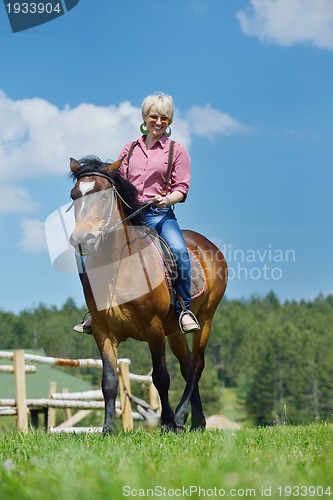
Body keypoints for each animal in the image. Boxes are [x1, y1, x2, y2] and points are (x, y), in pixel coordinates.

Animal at [68, 156, 227, 434]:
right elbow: (108, 380)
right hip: (175, 331)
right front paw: (108, 429)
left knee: (196, 366)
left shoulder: (154, 329)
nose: (82, 239)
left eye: (104, 197)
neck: (118, 266)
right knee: (187, 366)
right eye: (74, 195)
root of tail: (209, 245)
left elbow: (161, 377)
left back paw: (182, 417)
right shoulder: (102, 331)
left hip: (205, 319)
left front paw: (167, 421)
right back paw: (196, 421)